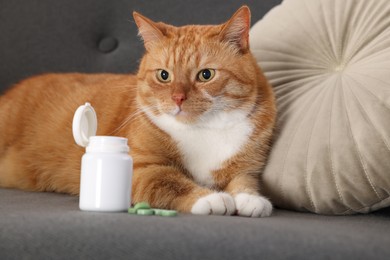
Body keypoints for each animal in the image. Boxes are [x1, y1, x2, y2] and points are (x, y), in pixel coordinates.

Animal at [0, 6, 276, 217]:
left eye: (206, 75)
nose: (178, 98)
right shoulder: (143, 169)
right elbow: (171, 181)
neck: (204, 129)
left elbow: (244, 181)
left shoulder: (246, 166)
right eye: (164, 75)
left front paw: (250, 199)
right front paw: (210, 198)